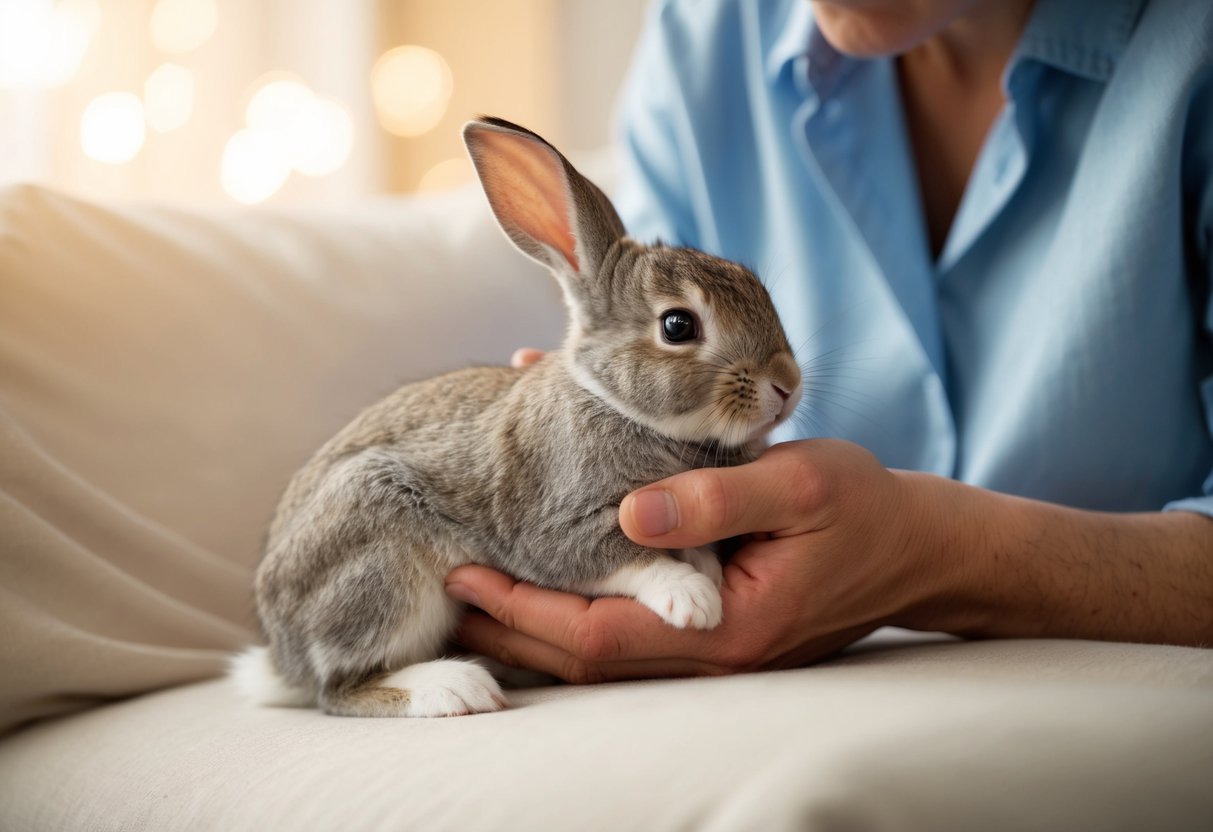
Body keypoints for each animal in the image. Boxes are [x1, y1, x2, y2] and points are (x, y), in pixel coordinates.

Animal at [230, 116, 803, 718]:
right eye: (677, 326)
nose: (787, 385)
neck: (614, 403)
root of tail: (282, 658)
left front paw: (707, 571)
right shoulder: (552, 527)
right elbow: (621, 555)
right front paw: (693, 598)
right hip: (380, 562)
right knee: (338, 689)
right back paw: (454, 688)